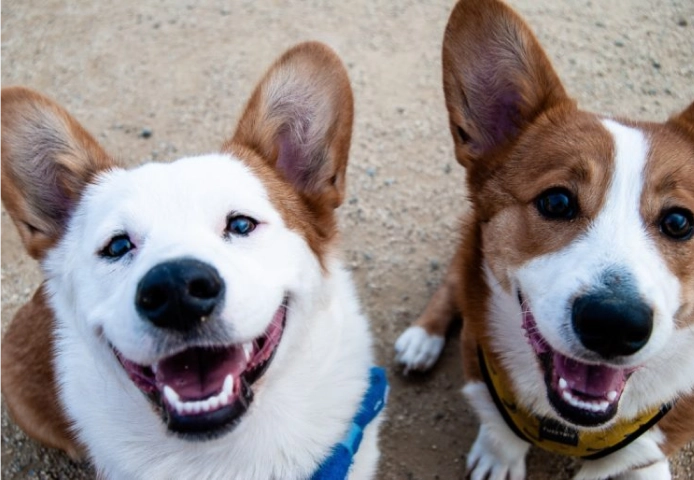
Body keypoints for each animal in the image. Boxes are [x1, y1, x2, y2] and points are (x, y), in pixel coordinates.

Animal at [396, 0, 694, 480]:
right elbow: (499, 425)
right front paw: (499, 455)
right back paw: (422, 339)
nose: (614, 324)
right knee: (453, 282)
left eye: (679, 222)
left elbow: (635, 458)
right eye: (556, 201)